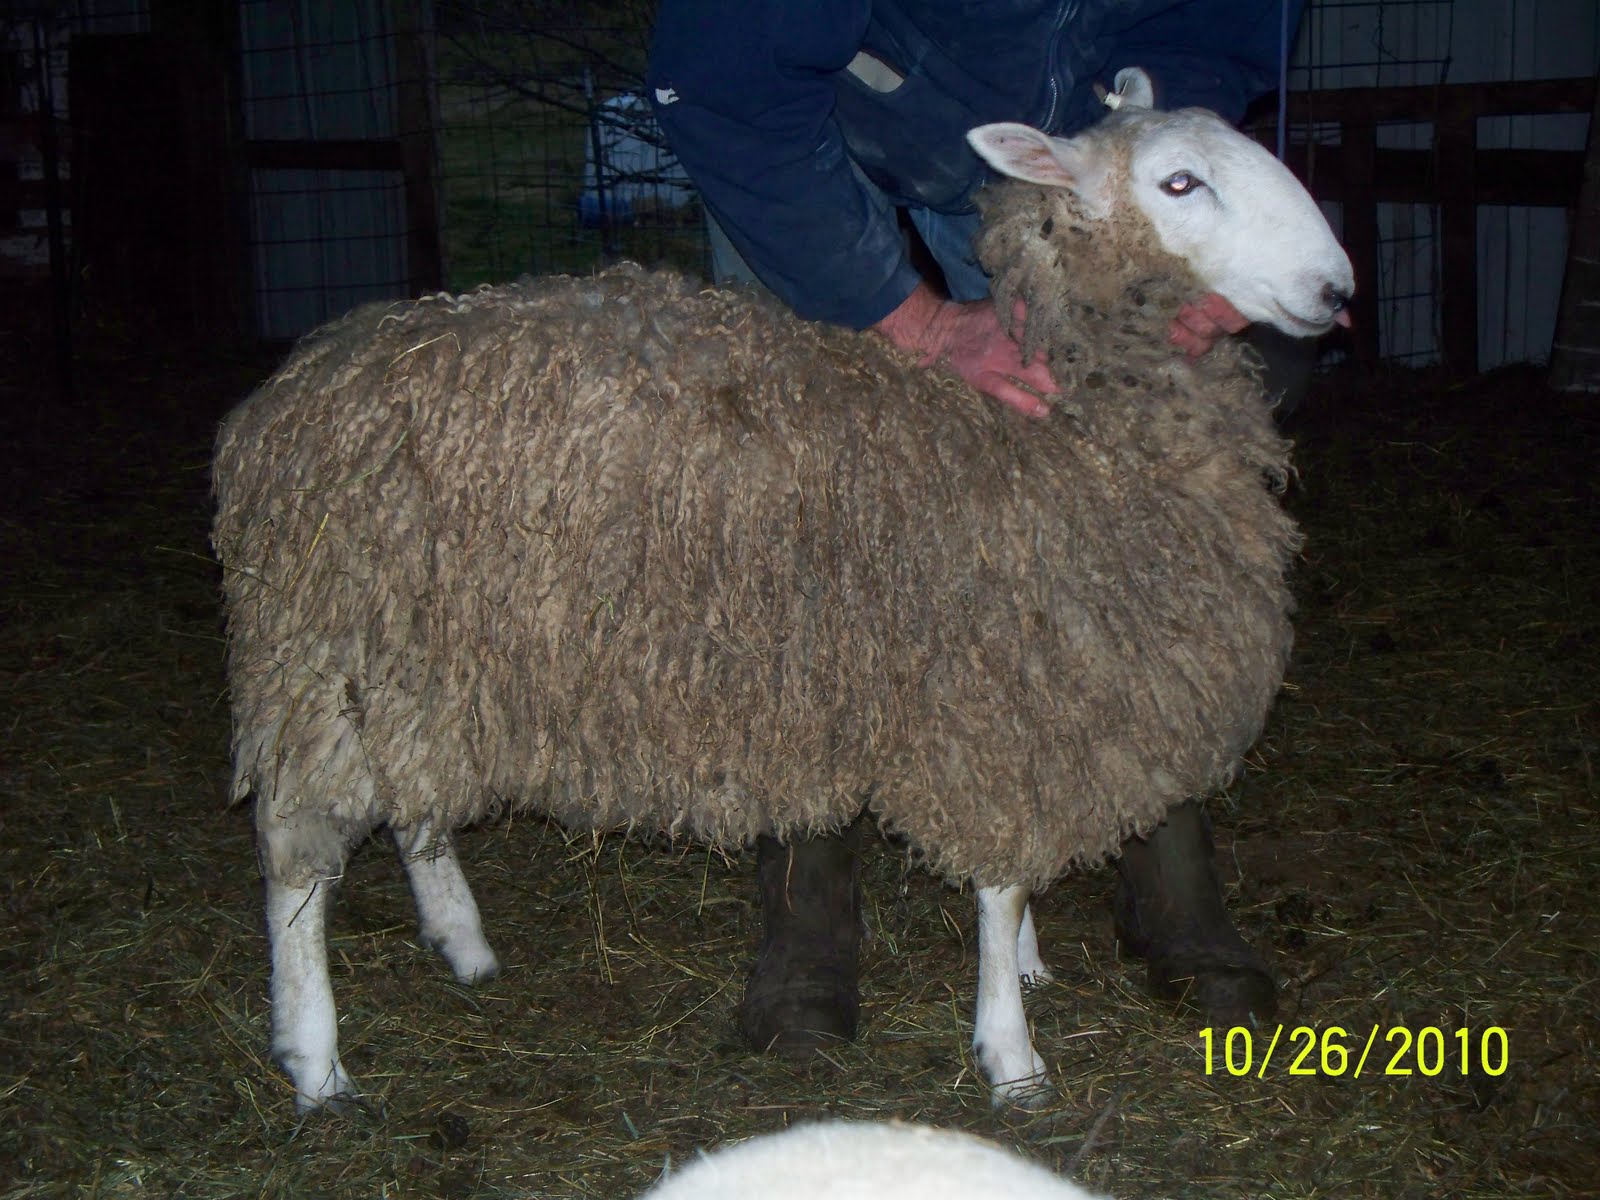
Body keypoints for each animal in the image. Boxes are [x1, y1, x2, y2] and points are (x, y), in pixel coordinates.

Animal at [212, 71, 1354, 1114]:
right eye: (1179, 182)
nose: (1338, 291)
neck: (1050, 420)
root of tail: (286, 397)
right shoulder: (991, 691)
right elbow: (997, 883)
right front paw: (1010, 1050)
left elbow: (1014, 875)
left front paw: (1029, 967)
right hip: (326, 654)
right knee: (293, 852)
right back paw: (315, 1057)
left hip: (427, 659)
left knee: (413, 797)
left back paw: (461, 939)